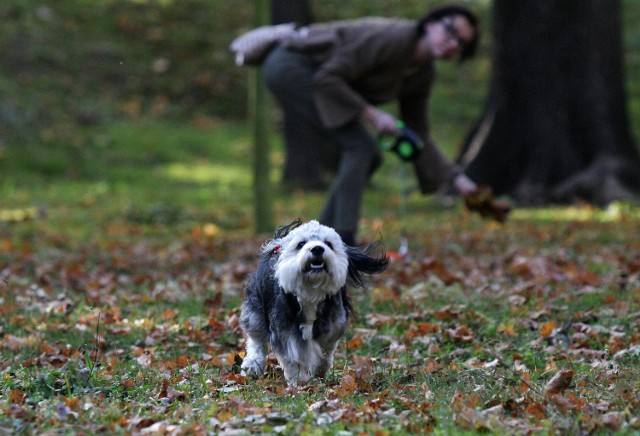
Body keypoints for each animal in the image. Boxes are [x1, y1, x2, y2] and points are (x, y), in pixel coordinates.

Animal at [240, 220, 388, 384]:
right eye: (301, 244)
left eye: (328, 244)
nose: (317, 248)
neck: (310, 292)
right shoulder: (285, 328)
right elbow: (292, 356)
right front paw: (299, 380)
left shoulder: (332, 325)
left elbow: (324, 352)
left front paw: (318, 372)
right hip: (256, 308)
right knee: (256, 337)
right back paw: (252, 365)